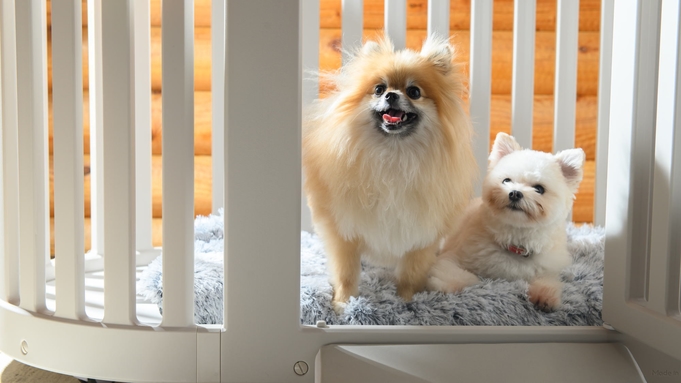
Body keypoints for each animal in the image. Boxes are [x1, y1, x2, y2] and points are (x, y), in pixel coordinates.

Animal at [300, 35, 476, 312]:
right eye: (379, 89)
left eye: (414, 92)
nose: (392, 95)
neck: (394, 156)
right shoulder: (343, 229)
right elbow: (345, 273)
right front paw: (343, 304)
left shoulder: (421, 234)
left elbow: (410, 274)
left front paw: (406, 301)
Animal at [428, 133, 580, 312]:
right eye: (506, 181)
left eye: (539, 189)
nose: (515, 193)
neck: (515, 242)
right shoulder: (454, 255)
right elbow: (454, 273)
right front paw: (452, 285)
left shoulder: (550, 267)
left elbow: (548, 279)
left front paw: (545, 295)